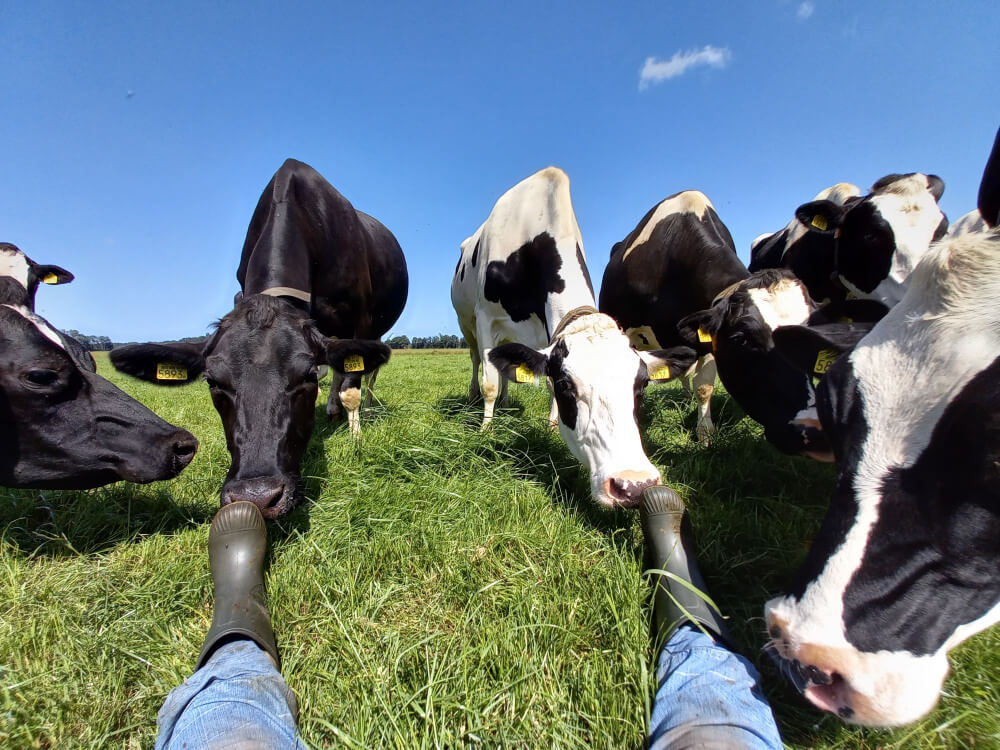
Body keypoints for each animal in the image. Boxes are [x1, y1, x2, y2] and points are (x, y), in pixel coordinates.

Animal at [111, 159, 404, 520]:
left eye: (307, 376)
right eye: (212, 381)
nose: (258, 496)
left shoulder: (361, 318)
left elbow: (352, 386)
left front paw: (356, 439)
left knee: (362, 372)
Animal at [454, 169, 696, 512]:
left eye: (641, 387)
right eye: (567, 385)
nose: (634, 484)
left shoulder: (547, 330)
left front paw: (552, 424)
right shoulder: (486, 318)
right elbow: (490, 381)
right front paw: (486, 428)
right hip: (467, 324)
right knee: (479, 360)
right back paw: (478, 397)